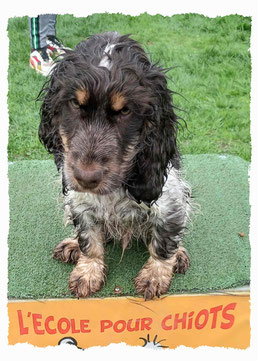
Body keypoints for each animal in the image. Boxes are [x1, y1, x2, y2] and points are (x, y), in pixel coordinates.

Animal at [38, 32, 191, 300]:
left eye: (125, 111)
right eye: (75, 104)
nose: (86, 178)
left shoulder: (170, 200)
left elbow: (164, 241)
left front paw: (155, 276)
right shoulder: (79, 202)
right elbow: (89, 239)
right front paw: (88, 272)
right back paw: (71, 245)